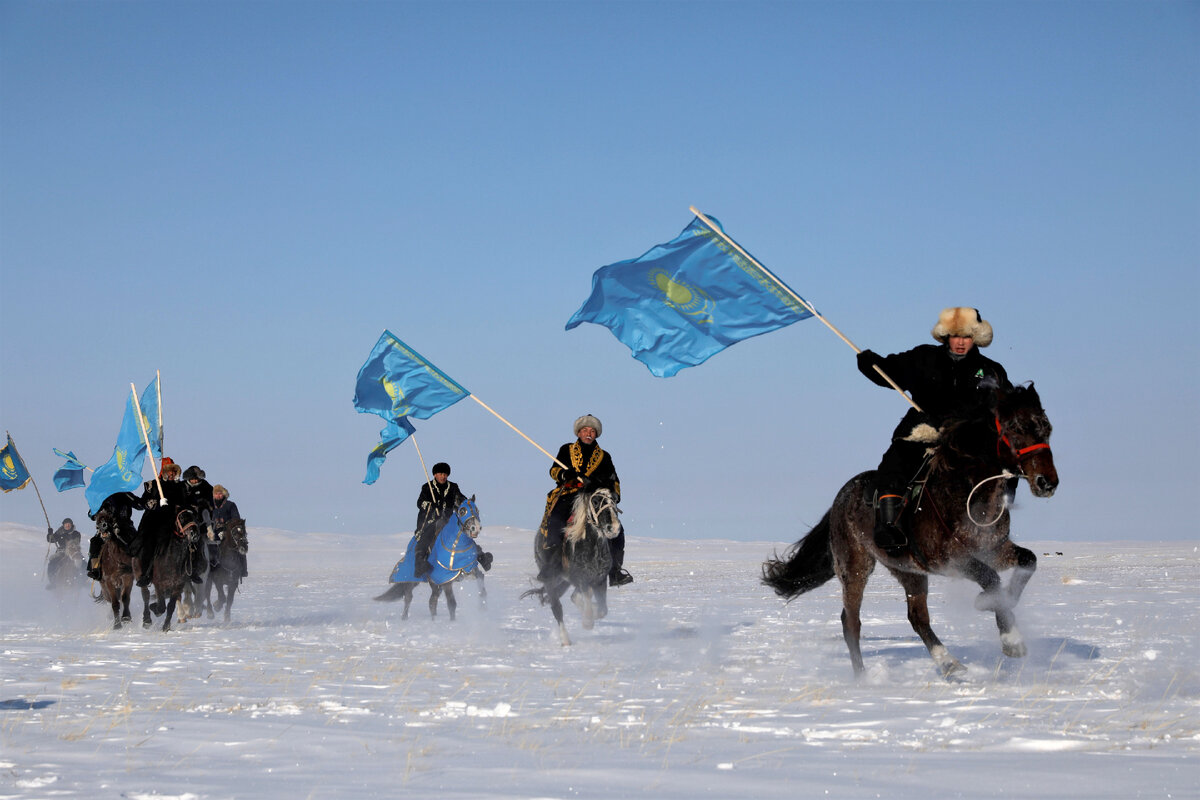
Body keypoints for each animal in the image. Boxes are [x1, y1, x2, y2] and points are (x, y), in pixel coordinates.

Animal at [523, 484, 624, 647]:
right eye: (595, 501)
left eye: (615, 500)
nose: (613, 528)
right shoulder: (582, 578)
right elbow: (587, 596)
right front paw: (587, 622)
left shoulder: (600, 580)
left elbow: (603, 609)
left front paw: (592, 614)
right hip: (551, 580)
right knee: (557, 608)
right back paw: (565, 640)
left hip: (564, 581)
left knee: (572, 597)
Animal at [763, 383, 1056, 681]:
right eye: (1015, 427)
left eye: (1047, 428)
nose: (1047, 482)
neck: (966, 492)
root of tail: (840, 499)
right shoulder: (951, 559)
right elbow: (991, 578)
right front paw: (1011, 639)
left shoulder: (994, 549)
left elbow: (1028, 561)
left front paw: (994, 604)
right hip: (855, 567)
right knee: (851, 622)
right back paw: (863, 678)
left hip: (909, 571)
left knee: (917, 618)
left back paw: (948, 663)